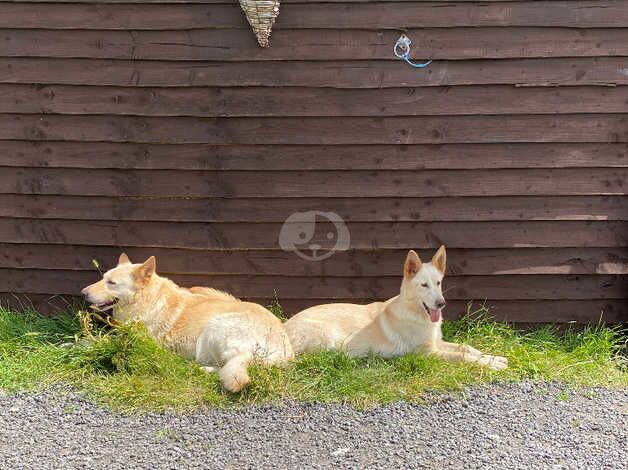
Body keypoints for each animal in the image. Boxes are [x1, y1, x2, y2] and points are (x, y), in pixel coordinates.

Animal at [81, 255, 294, 392]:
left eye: (112, 283)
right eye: (102, 278)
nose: (83, 293)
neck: (148, 300)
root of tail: (282, 351)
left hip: (215, 327)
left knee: (222, 366)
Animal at [288, 246, 508, 370]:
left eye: (438, 283)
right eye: (424, 285)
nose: (441, 303)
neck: (416, 313)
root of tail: (285, 326)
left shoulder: (437, 343)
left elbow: (466, 348)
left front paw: (491, 356)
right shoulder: (428, 353)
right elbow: (461, 356)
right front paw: (490, 363)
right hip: (329, 337)